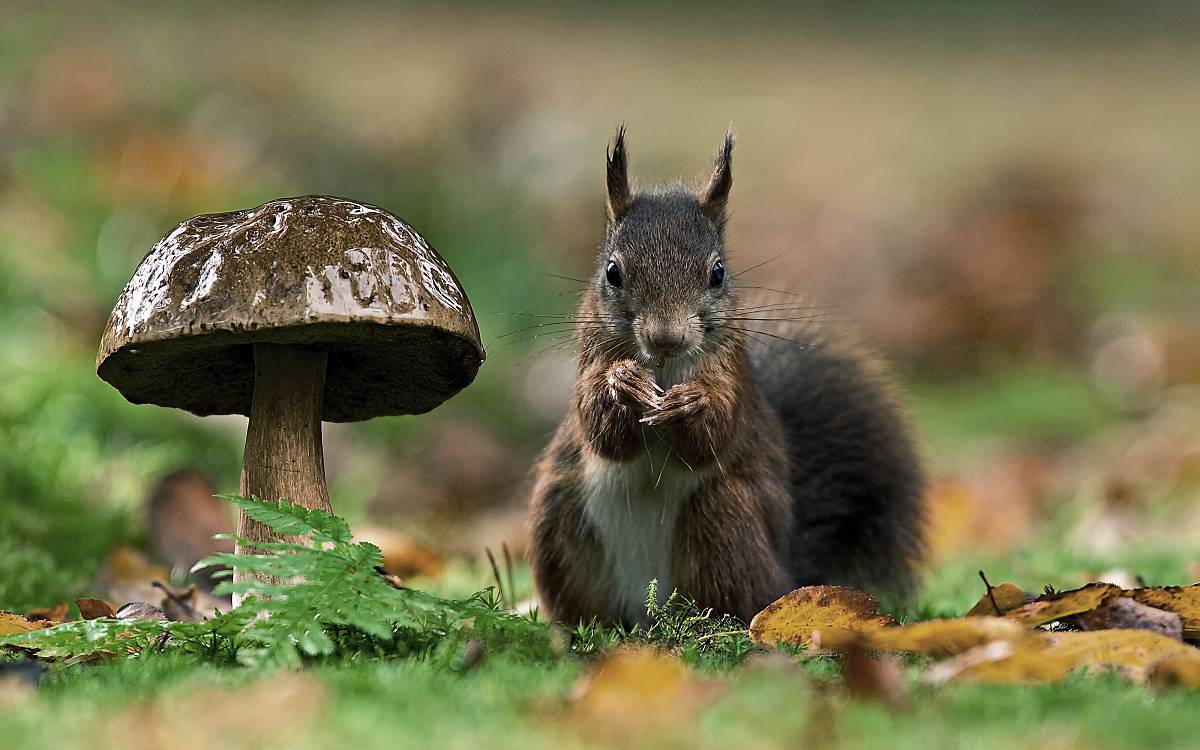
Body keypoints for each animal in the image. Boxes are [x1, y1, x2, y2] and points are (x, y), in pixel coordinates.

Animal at [527, 128, 925, 627]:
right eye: (613, 272)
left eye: (717, 273)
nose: (666, 338)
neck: (664, 369)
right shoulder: (591, 353)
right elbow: (599, 431)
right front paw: (622, 385)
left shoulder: (730, 371)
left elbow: (714, 436)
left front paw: (690, 405)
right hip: (559, 519)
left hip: (723, 520)